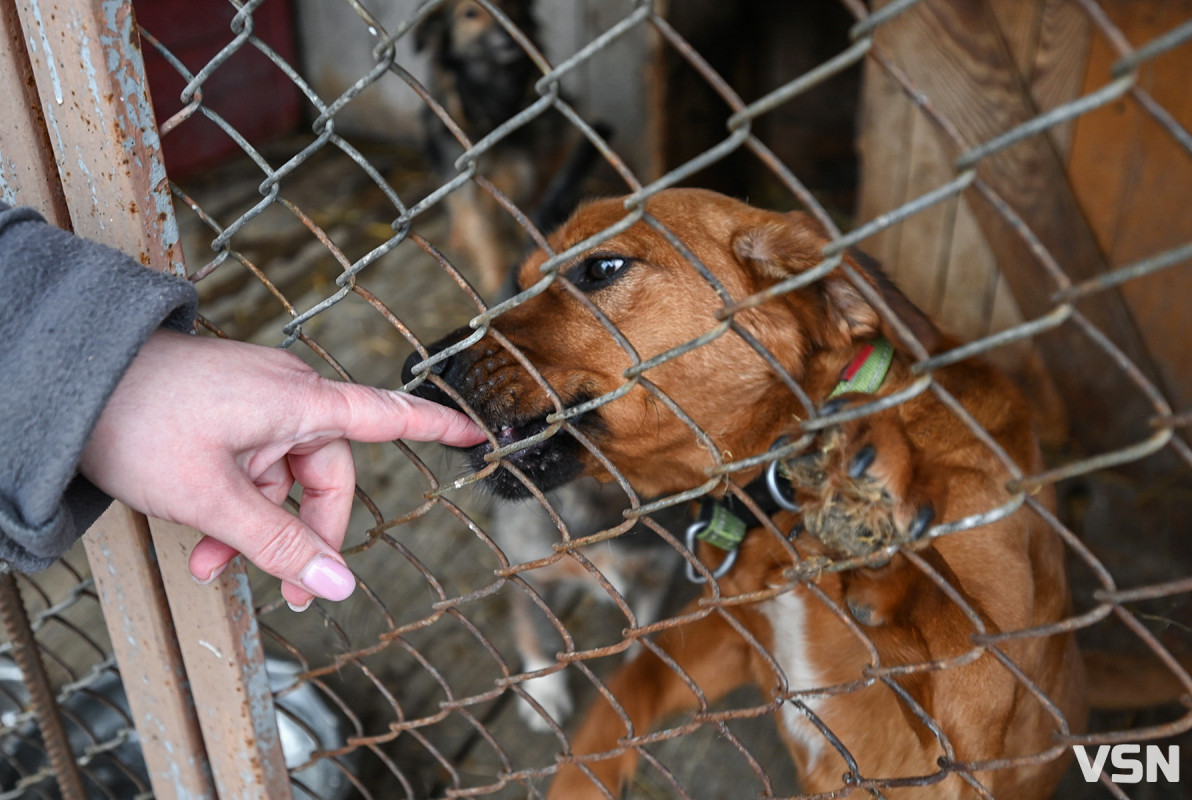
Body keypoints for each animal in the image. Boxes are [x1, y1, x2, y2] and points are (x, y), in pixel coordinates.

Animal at [407, 190, 1091, 796]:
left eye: (601, 267)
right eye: (519, 281)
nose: (419, 369)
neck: (774, 509)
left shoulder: (976, 738)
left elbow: (959, 632)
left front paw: (871, 505)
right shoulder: (726, 638)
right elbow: (618, 701)